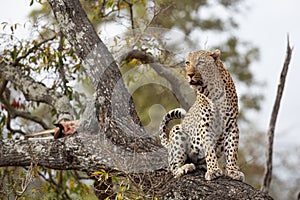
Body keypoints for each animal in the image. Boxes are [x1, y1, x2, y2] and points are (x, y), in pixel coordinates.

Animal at [159, 48, 244, 181]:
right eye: (187, 63)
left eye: (200, 63)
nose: (189, 75)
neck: (212, 89)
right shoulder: (206, 125)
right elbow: (209, 150)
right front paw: (213, 170)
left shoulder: (231, 125)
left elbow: (232, 150)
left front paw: (233, 171)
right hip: (177, 131)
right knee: (172, 167)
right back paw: (185, 168)